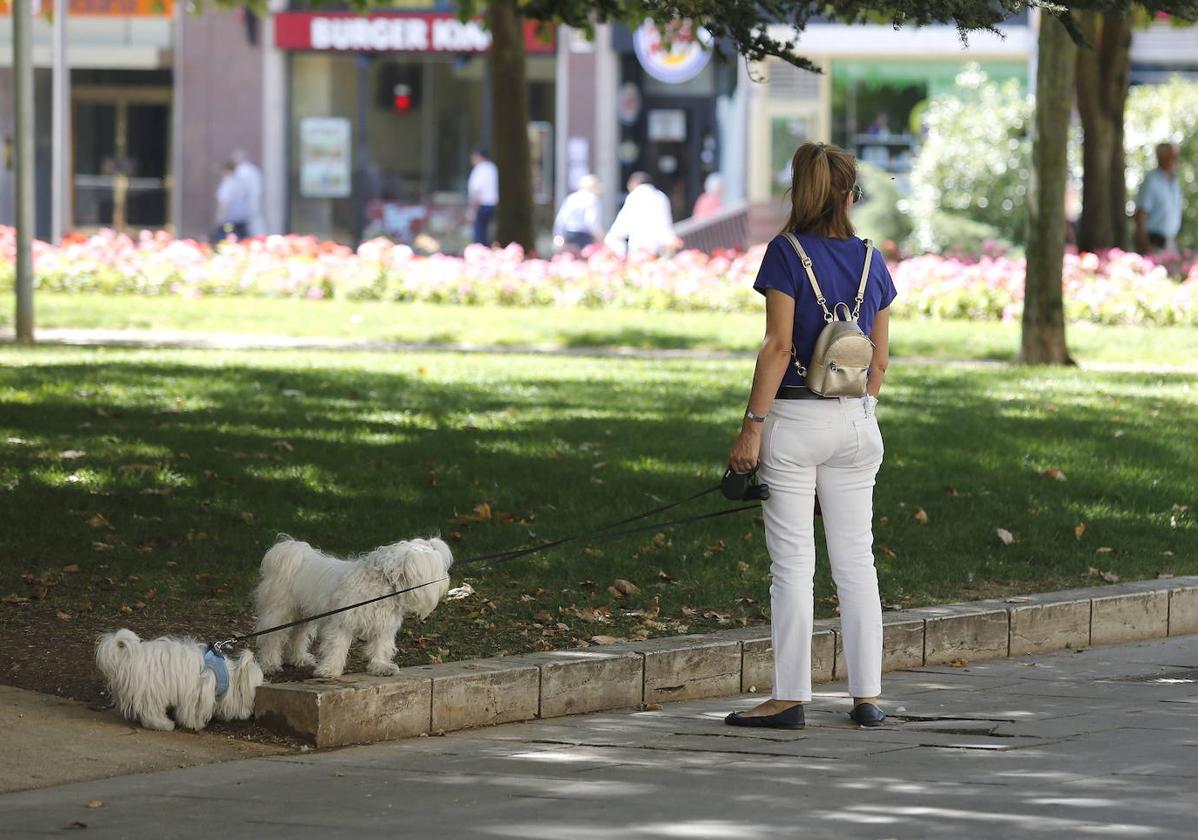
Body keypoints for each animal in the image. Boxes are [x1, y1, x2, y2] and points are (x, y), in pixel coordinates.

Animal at [94, 627, 264, 728]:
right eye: (254, 698)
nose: (251, 714)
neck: (227, 675)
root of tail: (128, 656)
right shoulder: (199, 690)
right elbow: (193, 710)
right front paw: (195, 723)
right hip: (152, 689)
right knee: (151, 711)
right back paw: (163, 724)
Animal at [252, 536, 452, 680]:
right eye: (438, 568)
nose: (447, 579)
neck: (384, 583)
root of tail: (293, 551)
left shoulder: (383, 626)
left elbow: (380, 647)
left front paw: (381, 666)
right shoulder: (342, 623)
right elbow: (337, 646)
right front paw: (330, 670)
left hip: (305, 614)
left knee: (298, 636)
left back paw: (299, 658)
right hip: (279, 612)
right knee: (272, 638)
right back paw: (270, 664)